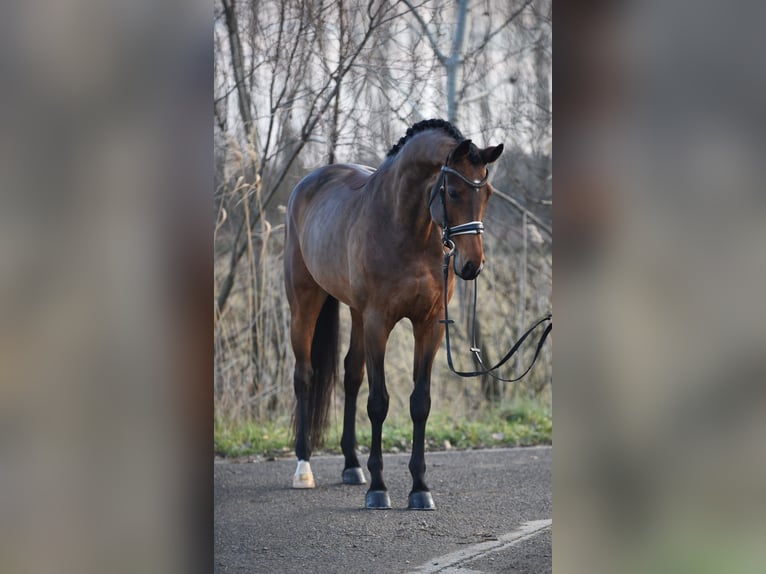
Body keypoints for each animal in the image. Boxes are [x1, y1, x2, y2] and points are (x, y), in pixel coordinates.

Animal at [284, 119, 504, 510]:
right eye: (453, 192)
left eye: (488, 193)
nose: (471, 266)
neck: (408, 229)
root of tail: (308, 183)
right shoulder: (378, 322)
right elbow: (378, 403)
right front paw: (379, 489)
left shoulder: (429, 325)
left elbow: (420, 403)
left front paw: (420, 488)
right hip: (304, 302)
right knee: (304, 376)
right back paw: (303, 468)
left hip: (355, 313)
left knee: (351, 375)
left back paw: (352, 466)